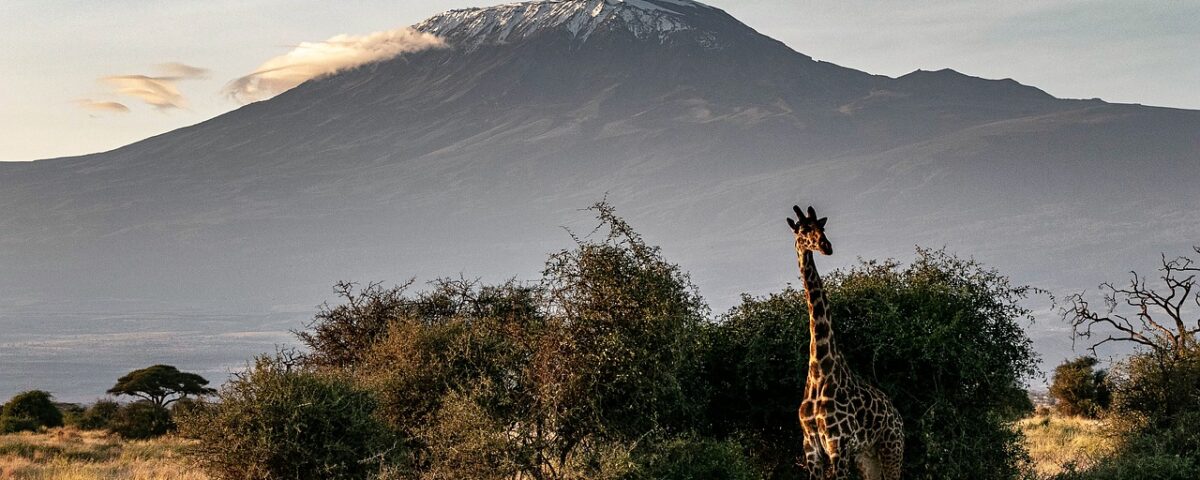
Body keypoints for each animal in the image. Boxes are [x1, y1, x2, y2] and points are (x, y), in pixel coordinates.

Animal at [787, 205, 902, 480]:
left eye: (822, 227)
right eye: (803, 230)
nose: (826, 246)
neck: (819, 369)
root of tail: (897, 416)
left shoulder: (837, 443)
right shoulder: (811, 447)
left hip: (892, 449)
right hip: (867, 458)